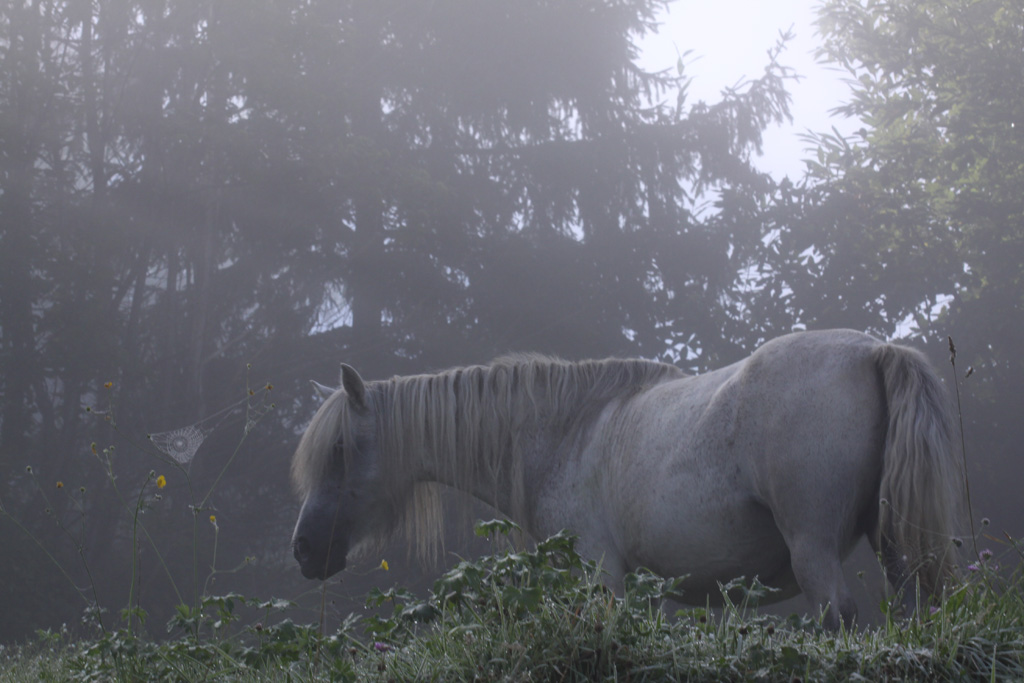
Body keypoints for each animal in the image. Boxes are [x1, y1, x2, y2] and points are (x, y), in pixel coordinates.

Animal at [292, 327, 962, 626]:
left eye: (341, 450)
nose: (303, 550)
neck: (566, 430)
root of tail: (872, 351)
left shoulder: (601, 575)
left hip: (814, 551)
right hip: (894, 544)